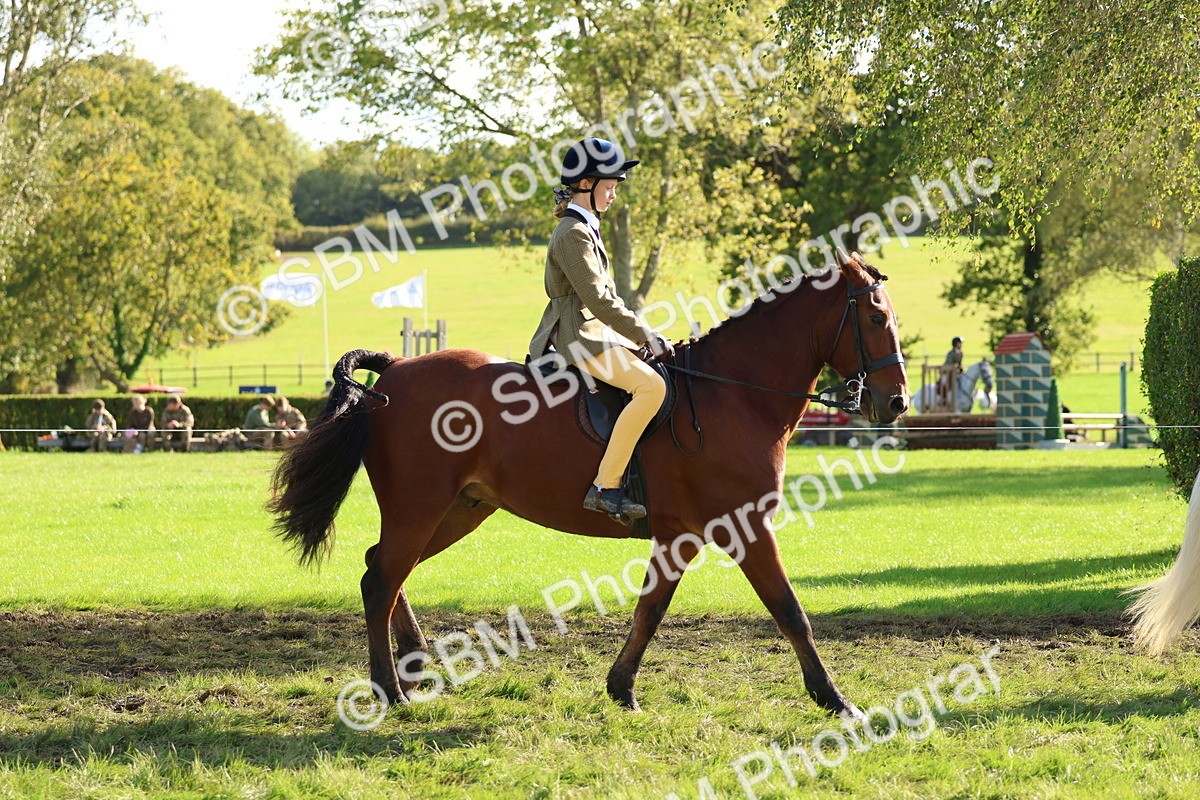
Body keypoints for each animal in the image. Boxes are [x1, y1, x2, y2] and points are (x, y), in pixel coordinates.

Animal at [268, 252, 909, 720]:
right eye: (877, 319)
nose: (896, 403)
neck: (732, 393)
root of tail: (397, 368)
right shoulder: (745, 526)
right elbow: (790, 610)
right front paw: (834, 700)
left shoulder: (679, 535)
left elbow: (651, 609)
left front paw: (621, 688)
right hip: (419, 507)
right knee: (381, 579)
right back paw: (391, 690)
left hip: (456, 510)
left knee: (386, 570)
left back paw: (417, 664)